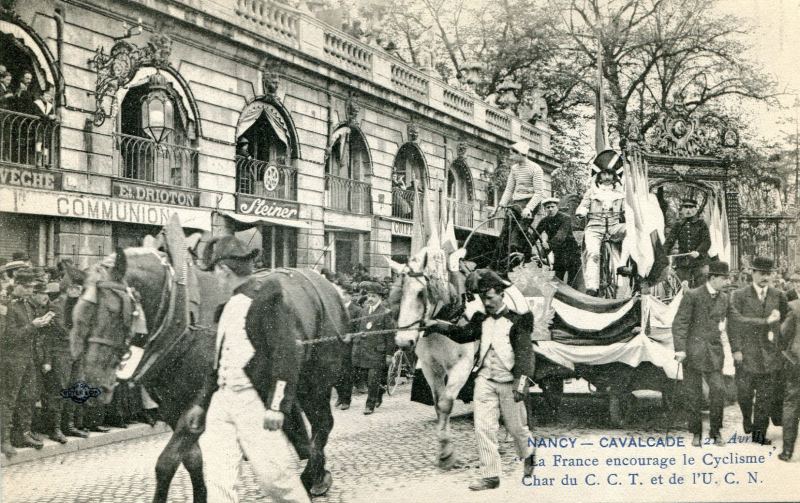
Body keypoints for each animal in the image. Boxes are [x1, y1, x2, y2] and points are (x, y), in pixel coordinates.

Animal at [68, 246, 344, 502]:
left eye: (115, 310)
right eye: (78, 313)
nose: (91, 386)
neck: (181, 315)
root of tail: (327, 287)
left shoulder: (196, 404)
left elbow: (166, 463)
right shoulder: (172, 408)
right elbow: (192, 460)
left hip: (315, 382)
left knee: (323, 424)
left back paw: (311, 477)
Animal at [390, 247, 476, 468]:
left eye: (421, 293)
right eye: (398, 293)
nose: (403, 341)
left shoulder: (462, 365)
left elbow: (446, 403)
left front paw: (446, 452)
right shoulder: (431, 367)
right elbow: (438, 404)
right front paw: (444, 450)